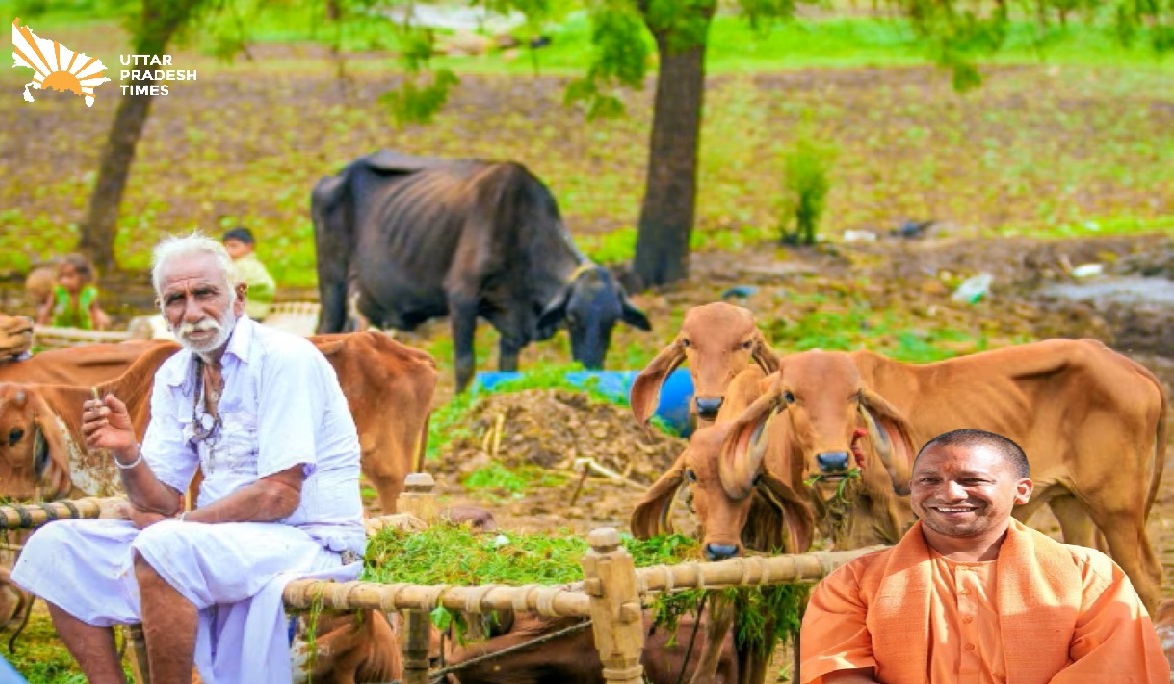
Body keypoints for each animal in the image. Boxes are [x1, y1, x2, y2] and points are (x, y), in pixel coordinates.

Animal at [312, 152, 652, 394]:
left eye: (613, 320)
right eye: (572, 318)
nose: (592, 367)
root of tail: (337, 175)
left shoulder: (512, 319)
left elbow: (507, 368)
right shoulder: (462, 297)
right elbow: (465, 364)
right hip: (333, 282)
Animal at [713, 340, 1164, 614]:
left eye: (855, 397)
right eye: (790, 397)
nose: (833, 459)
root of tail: (1129, 366)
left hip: (1117, 506)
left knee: (1146, 578)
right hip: (1072, 502)